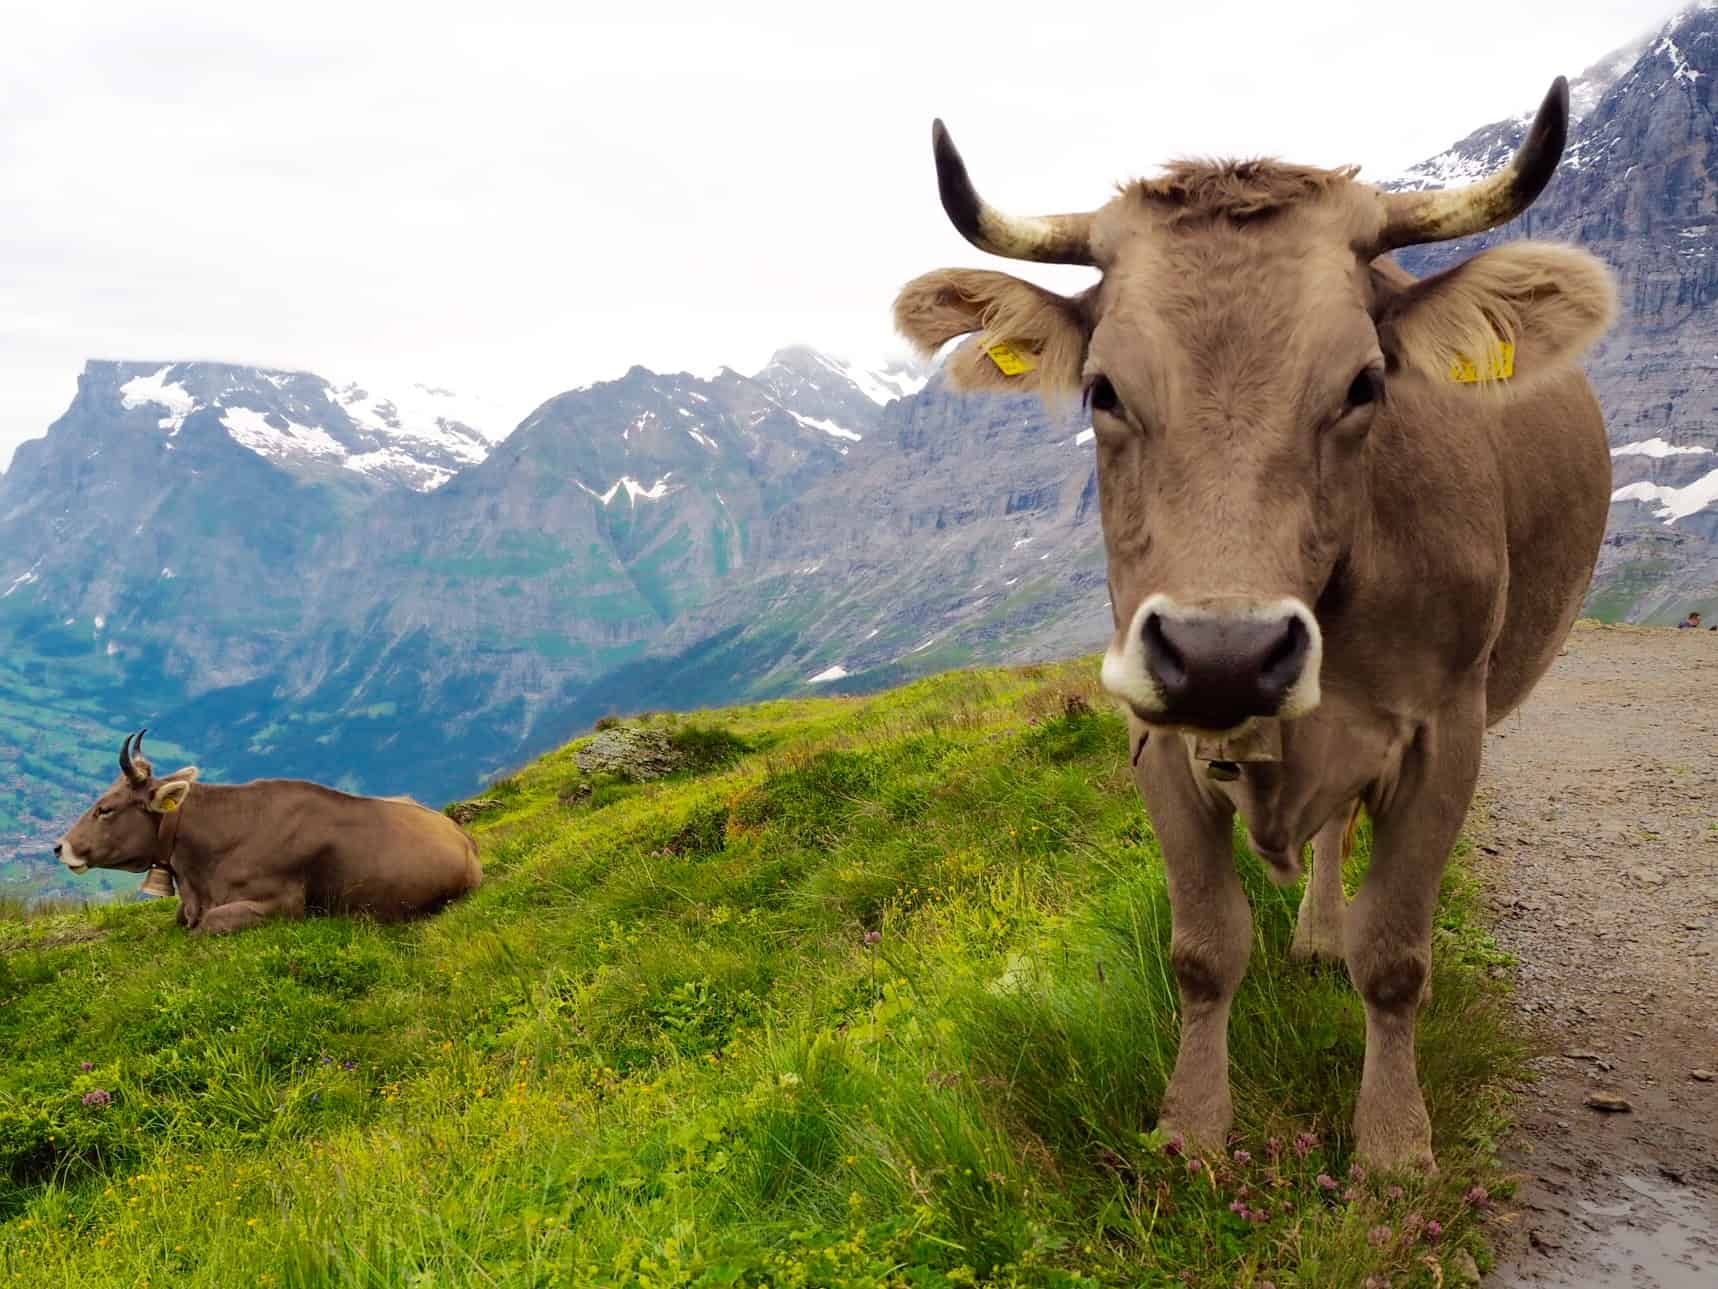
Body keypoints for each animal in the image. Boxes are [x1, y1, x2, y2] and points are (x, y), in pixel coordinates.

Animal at [893, 78, 1614, 1168]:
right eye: (1102, 388)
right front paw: (1190, 1131)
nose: (1222, 657)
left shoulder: (1444, 732)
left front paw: (1392, 1151)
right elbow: (1203, 948)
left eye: (1364, 383)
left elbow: (1394, 956)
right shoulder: (1152, 728)